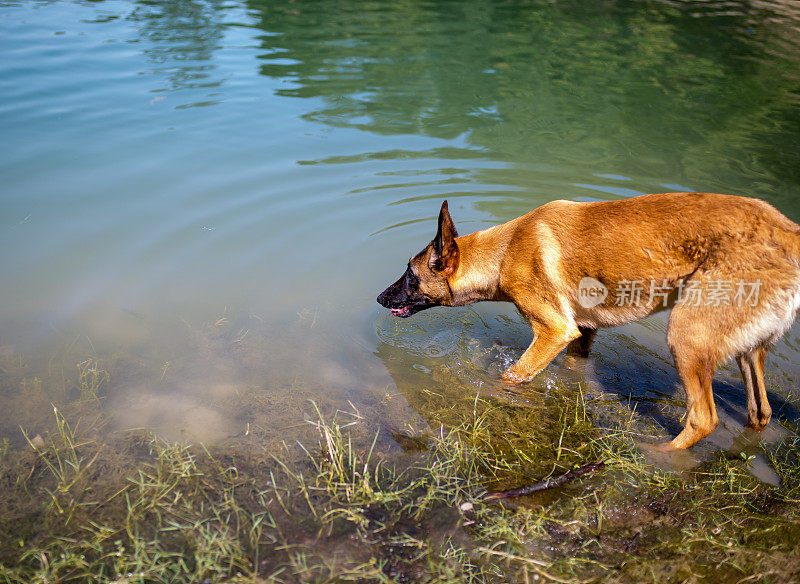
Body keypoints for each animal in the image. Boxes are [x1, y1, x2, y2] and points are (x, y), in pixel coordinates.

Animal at [376, 194, 800, 450]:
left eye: (410, 276)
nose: (380, 298)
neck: (504, 252)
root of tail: (788, 231)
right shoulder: (581, 333)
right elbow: (575, 370)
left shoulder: (554, 332)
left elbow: (509, 378)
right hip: (747, 353)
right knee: (760, 412)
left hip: (686, 339)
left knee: (703, 419)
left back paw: (658, 455)